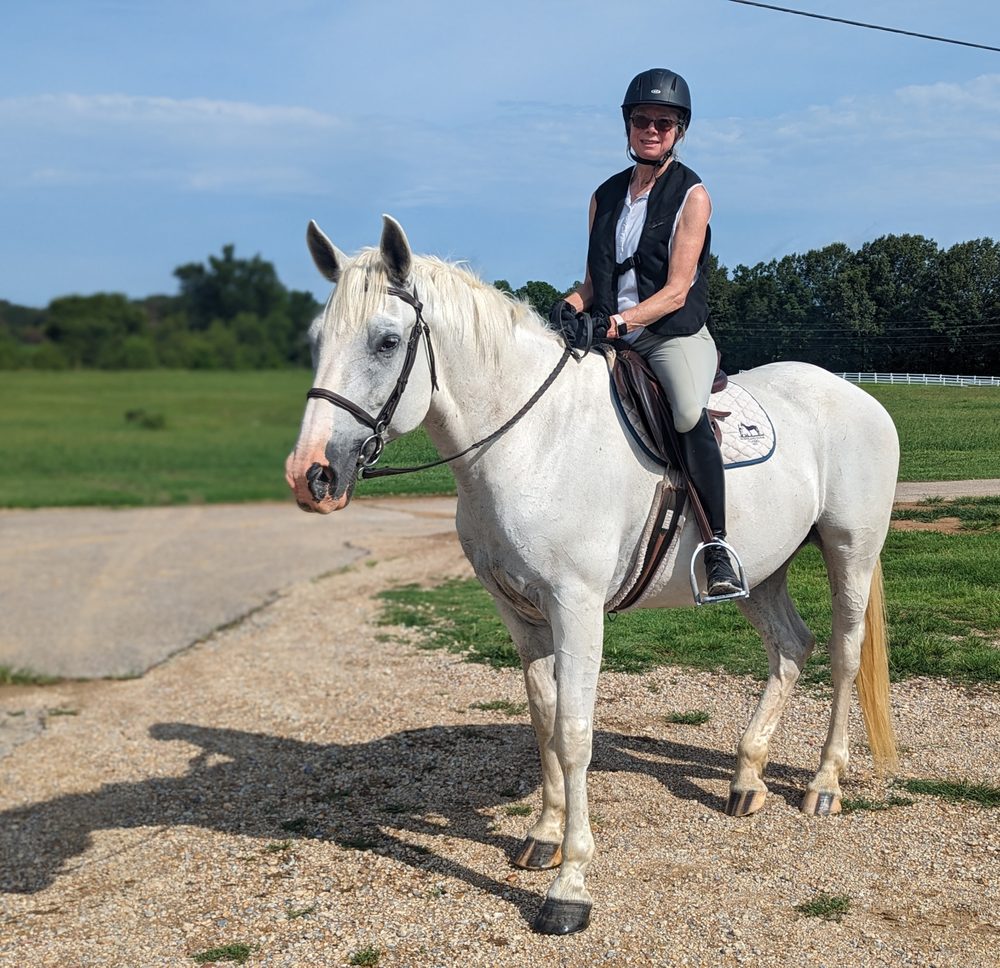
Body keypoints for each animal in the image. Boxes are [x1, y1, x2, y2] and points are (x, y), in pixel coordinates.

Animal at [285, 215, 900, 936]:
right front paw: (544, 837)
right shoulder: (520, 615)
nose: (311, 475)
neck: (530, 441)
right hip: (761, 569)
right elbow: (545, 723)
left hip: (850, 550)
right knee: (790, 647)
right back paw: (746, 779)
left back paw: (824, 784)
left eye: (386, 341)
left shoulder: (576, 609)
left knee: (842, 655)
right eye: (317, 340)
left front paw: (570, 887)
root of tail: (856, 395)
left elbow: (576, 735)